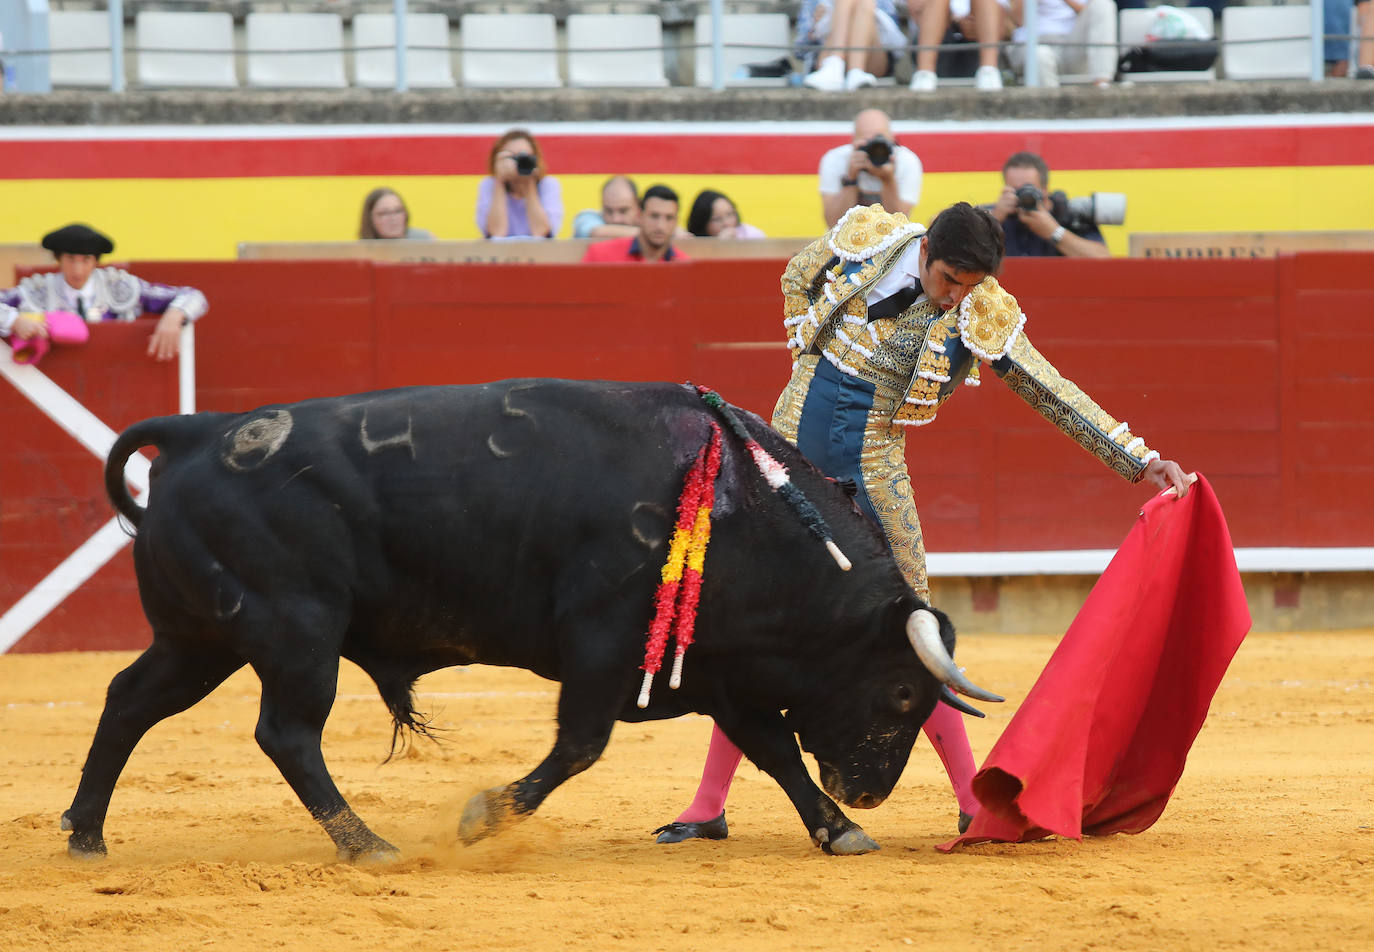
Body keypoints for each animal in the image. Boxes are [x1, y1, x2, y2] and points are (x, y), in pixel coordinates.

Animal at [64, 381, 1000, 862]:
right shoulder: (603, 645)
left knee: (128, 701)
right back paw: (366, 843)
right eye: (900, 696)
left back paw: (85, 834)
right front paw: (483, 818)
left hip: (200, 638)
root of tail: (199, 432)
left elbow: (772, 748)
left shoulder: (717, 667)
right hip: (296, 632)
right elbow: (581, 745)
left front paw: (840, 829)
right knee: (286, 734)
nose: (869, 789)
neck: (743, 503)